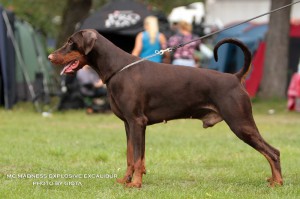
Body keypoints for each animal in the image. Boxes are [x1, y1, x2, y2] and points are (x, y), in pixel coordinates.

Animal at [48, 29, 282, 188]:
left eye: (71, 42)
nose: (50, 57)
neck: (117, 68)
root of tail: (234, 77)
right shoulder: (128, 124)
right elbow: (131, 156)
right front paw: (125, 180)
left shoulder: (137, 122)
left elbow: (138, 157)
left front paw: (135, 184)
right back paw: (273, 179)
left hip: (240, 123)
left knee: (273, 151)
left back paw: (277, 182)